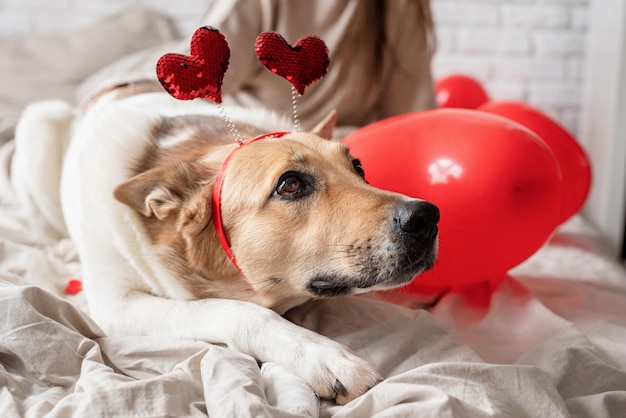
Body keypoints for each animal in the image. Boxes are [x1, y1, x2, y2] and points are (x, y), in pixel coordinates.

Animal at [12, 88, 436, 404]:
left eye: (359, 168)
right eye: (290, 184)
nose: (427, 217)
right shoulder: (116, 306)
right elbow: (242, 313)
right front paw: (324, 357)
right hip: (41, 123)